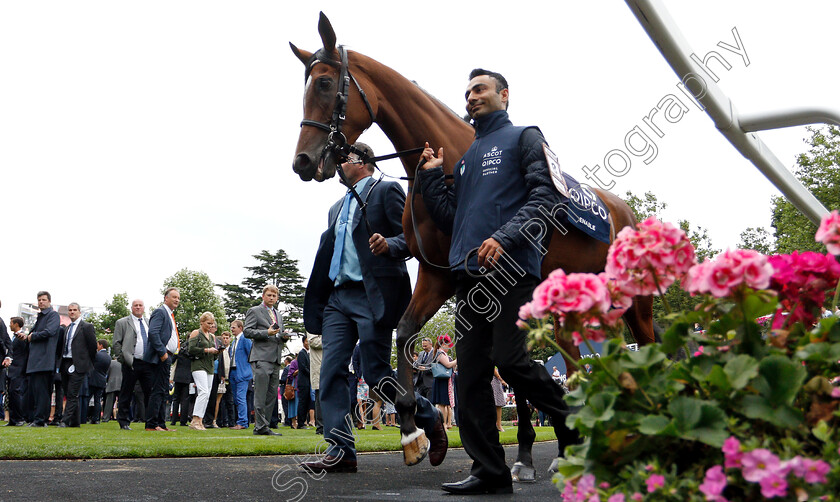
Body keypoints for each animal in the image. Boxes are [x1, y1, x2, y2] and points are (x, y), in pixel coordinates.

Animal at [290, 12, 656, 478]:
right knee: (573, 364)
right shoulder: (438, 275)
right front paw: (414, 432)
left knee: (645, 348)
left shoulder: (480, 281)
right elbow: (407, 334)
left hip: (634, 305)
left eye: (323, 83)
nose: (302, 161)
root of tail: (625, 212)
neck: (451, 160)